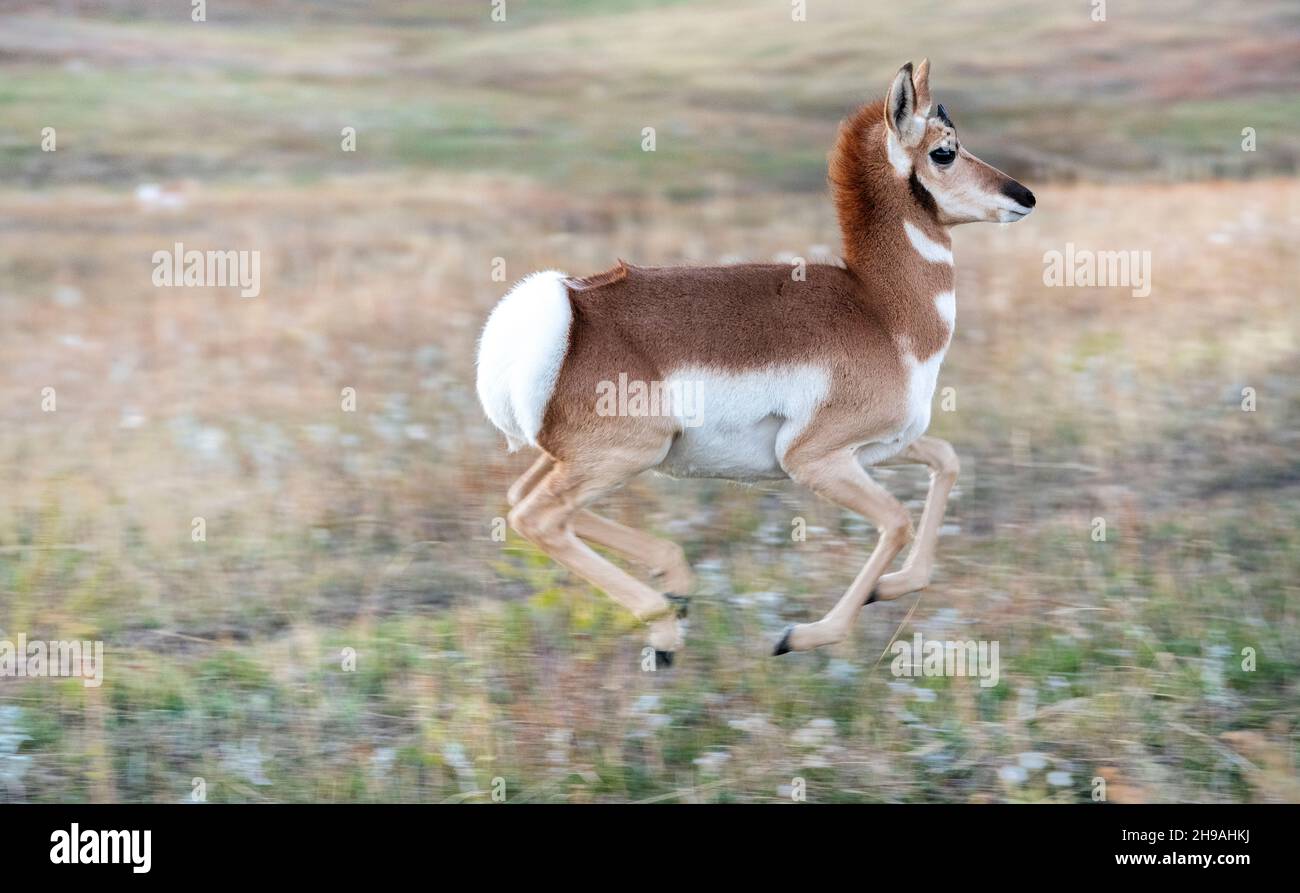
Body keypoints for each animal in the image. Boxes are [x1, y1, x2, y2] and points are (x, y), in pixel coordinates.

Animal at [476, 61, 1035, 665]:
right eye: (944, 151)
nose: (1025, 196)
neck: (882, 310)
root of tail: (573, 310)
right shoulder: (813, 460)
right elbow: (896, 520)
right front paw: (803, 634)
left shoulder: (882, 446)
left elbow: (946, 460)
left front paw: (890, 588)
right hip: (623, 456)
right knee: (536, 517)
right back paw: (664, 625)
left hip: (586, 458)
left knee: (523, 499)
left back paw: (675, 585)